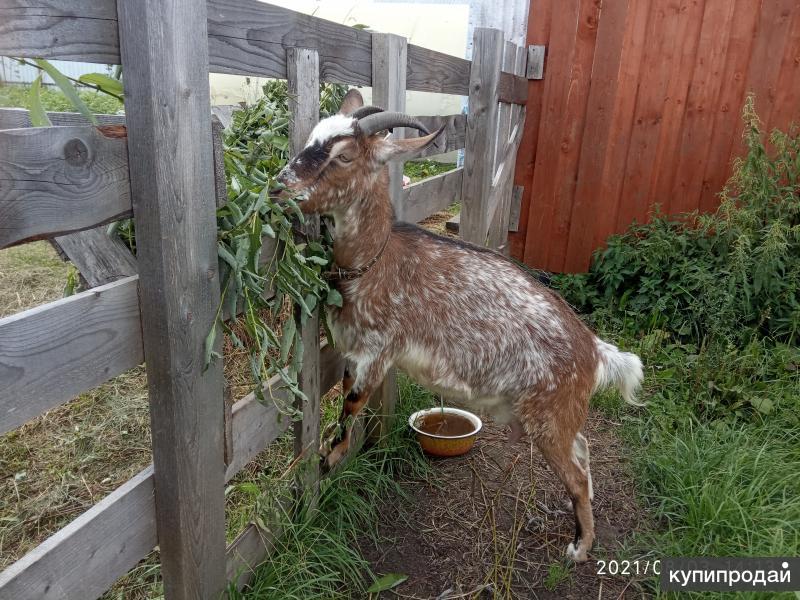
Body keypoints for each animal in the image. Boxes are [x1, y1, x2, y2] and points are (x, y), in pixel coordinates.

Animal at [276, 90, 644, 564]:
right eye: (310, 138)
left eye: (343, 156)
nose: (278, 186)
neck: (374, 261)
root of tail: (595, 351)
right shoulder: (353, 350)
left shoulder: (378, 350)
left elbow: (352, 405)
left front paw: (327, 458)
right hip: (563, 417)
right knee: (582, 452)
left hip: (549, 416)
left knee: (576, 473)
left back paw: (579, 547)